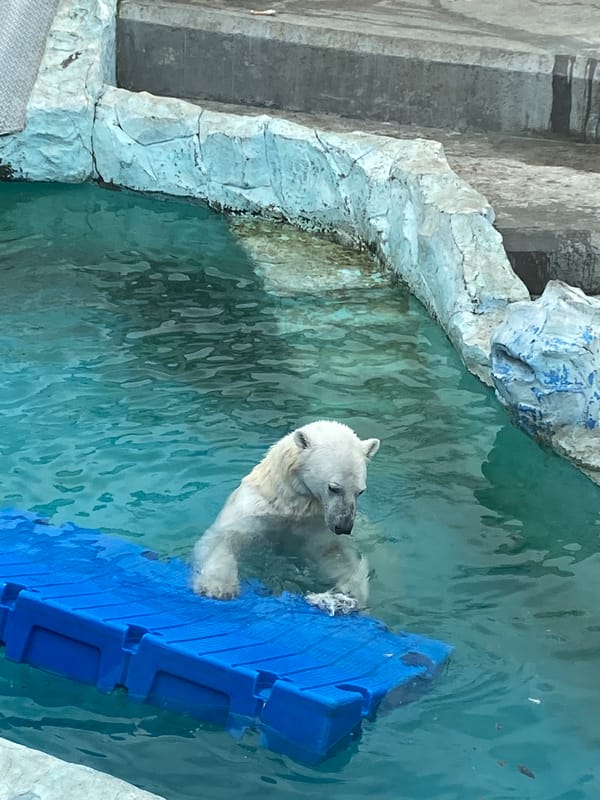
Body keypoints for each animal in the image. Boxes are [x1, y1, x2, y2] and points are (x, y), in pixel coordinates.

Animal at [192, 420, 380, 610]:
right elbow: (224, 537)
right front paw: (218, 588)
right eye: (333, 487)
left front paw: (345, 596)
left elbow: (335, 554)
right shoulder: (254, 511)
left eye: (360, 491)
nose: (343, 526)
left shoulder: (317, 524)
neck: (291, 503)